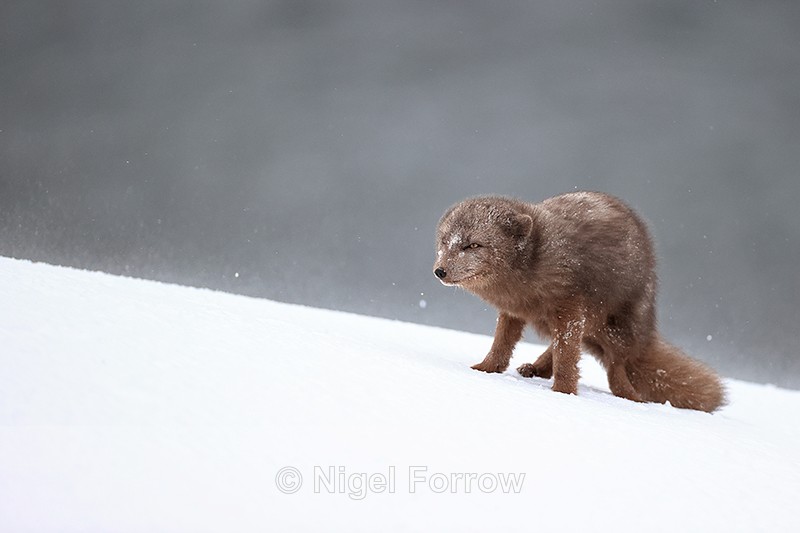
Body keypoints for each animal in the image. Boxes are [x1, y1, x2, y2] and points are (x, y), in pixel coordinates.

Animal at [433, 191, 726, 412]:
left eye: (473, 245)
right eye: (445, 242)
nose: (439, 271)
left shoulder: (569, 307)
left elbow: (567, 354)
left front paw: (563, 393)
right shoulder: (512, 311)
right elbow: (501, 345)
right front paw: (486, 370)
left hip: (616, 327)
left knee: (616, 365)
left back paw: (629, 396)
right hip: (557, 323)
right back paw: (536, 369)